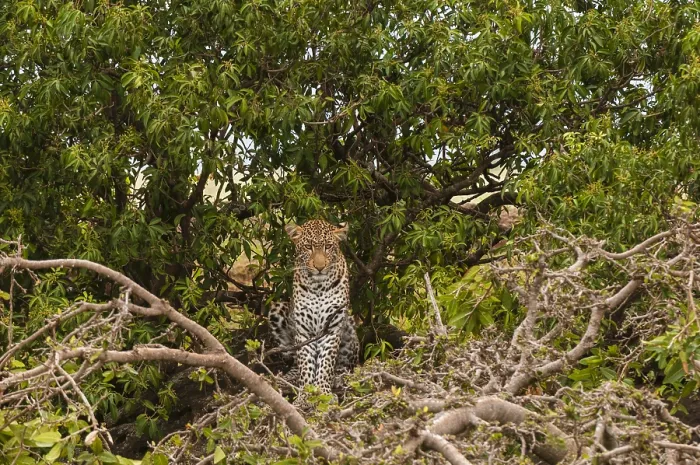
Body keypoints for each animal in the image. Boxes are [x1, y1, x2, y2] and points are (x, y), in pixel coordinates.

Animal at [266, 219, 359, 398]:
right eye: (308, 247)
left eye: (328, 246)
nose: (320, 267)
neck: (318, 287)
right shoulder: (303, 331)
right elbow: (306, 363)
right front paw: (306, 393)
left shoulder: (332, 328)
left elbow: (326, 363)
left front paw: (323, 391)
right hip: (277, 309)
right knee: (295, 365)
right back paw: (285, 381)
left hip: (350, 328)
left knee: (344, 365)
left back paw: (338, 378)